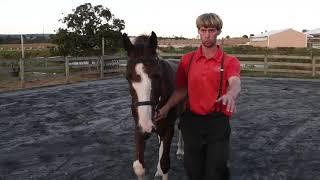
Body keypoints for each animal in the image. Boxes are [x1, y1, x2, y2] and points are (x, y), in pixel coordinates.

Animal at [122, 31, 182, 179]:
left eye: (157, 75)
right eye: (128, 77)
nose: (147, 125)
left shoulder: (168, 128)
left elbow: (165, 164)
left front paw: (162, 168)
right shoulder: (139, 128)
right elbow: (139, 167)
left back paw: (179, 150)